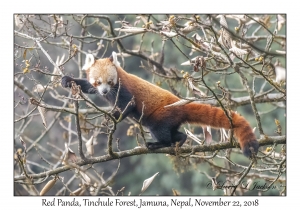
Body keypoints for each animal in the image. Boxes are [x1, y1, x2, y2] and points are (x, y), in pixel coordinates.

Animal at [61, 52, 258, 158]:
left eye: (110, 82)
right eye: (98, 82)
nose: (103, 91)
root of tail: (180, 104)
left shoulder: (124, 89)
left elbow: (128, 107)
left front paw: (114, 117)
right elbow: (85, 86)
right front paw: (69, 80)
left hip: (160, 117)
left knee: (161, 132)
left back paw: (158, 144)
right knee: (175, 133)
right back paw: (180, 140)